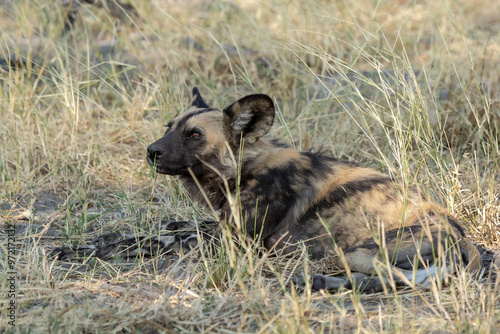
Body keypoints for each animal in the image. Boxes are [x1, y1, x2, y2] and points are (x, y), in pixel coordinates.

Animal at [50, 87, 480, 290]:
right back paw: (319, 283)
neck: (242, 170)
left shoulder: (230, 243)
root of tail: (463, 235)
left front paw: (88, 250)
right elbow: (168, 228)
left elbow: (151, 240)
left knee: (397, 280)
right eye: (168, 126)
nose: (151, 152)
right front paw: (96, 242)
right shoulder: (219, 227)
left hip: (359, 251)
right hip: (353, 255)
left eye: (193, 135)